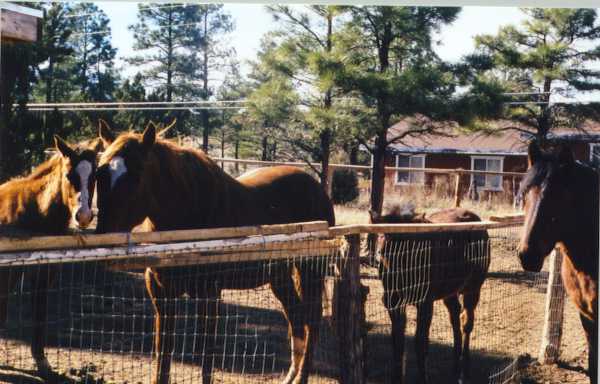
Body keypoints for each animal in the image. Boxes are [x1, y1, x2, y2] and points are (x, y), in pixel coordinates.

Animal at [0, 132, 103, 378]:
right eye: (68, 175)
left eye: (94, 176)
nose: (83, 216)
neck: (34, 210)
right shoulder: (8, 273)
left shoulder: (45, 271)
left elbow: (40, 312)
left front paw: (42, 361)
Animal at [96, 123, 336, 384]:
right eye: (100, 172)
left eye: (138, 175)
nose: (104, 236)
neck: (190, 214)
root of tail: (317, 189)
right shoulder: (162, 293)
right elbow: (163, 353)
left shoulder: (209, 293)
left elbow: (206, 352)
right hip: (279, 276)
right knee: (297, 320)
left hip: (310, 269)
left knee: (312, 321)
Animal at [370, 206, 492, 384]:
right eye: (379, 234)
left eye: (401, 240)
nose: (380, 258)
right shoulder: (394, 303)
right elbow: (397, 341)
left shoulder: (425, 303)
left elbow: (420, 342)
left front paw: (422, 377)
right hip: (450, 291)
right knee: (455, 315)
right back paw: (455, 365)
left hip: (473, 288)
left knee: (467, 322)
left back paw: (464, 370)